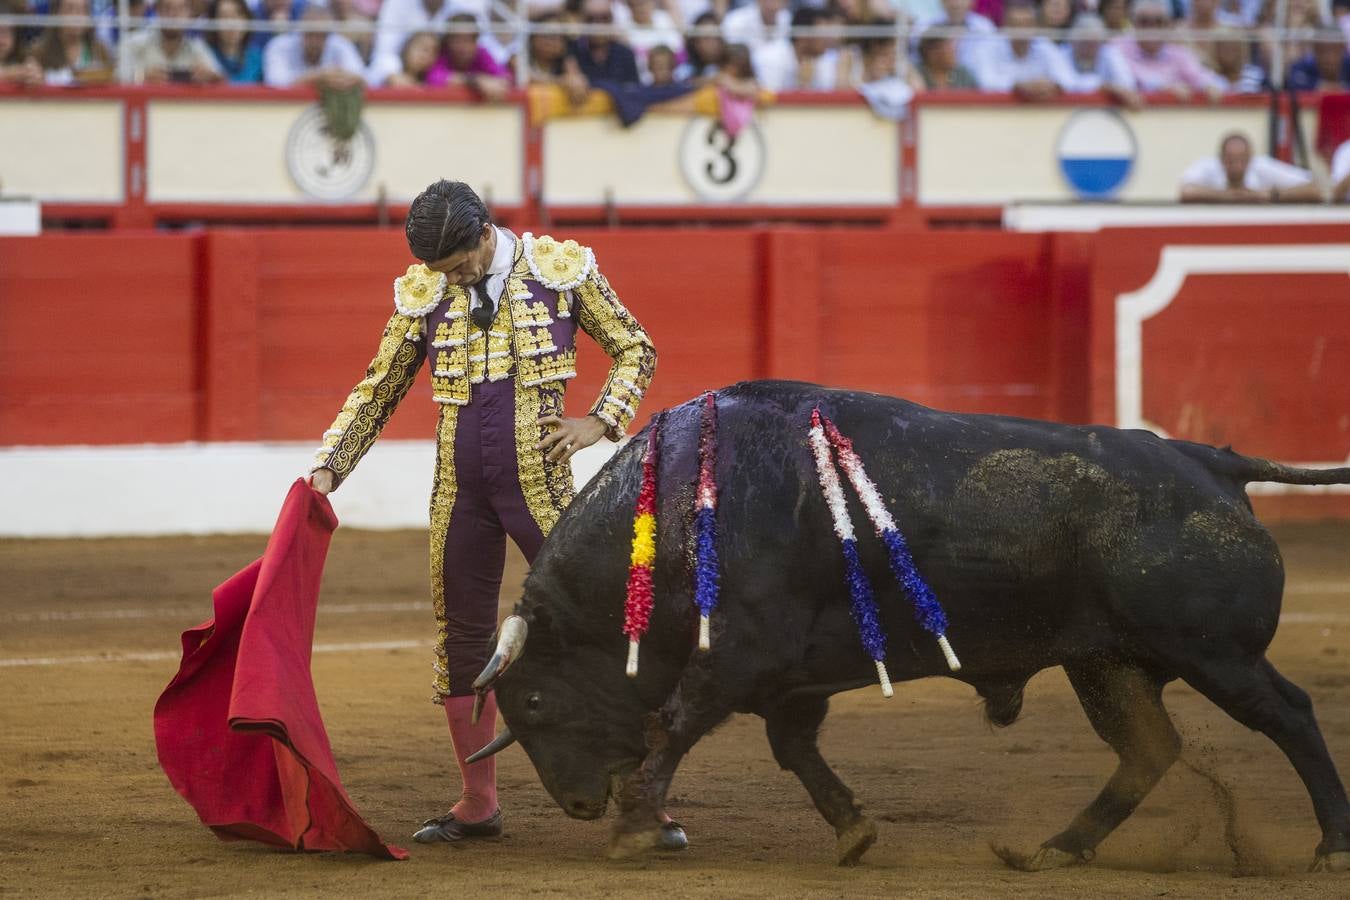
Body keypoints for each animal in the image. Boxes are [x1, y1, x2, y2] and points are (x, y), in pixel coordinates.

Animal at [467, 383, 1350, 874]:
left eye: (535, 704)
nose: (580, 804)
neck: (683, 506)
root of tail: (1213, 464)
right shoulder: (791, 679)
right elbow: (794, 750)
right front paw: (854, 832)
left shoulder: (736, 657)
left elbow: (673, 725)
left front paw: (634, 830)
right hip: (1108, 663)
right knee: (1149, 750)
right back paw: (1054, 849)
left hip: (1216, 655)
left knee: (1290, 715)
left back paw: (1331, 845)